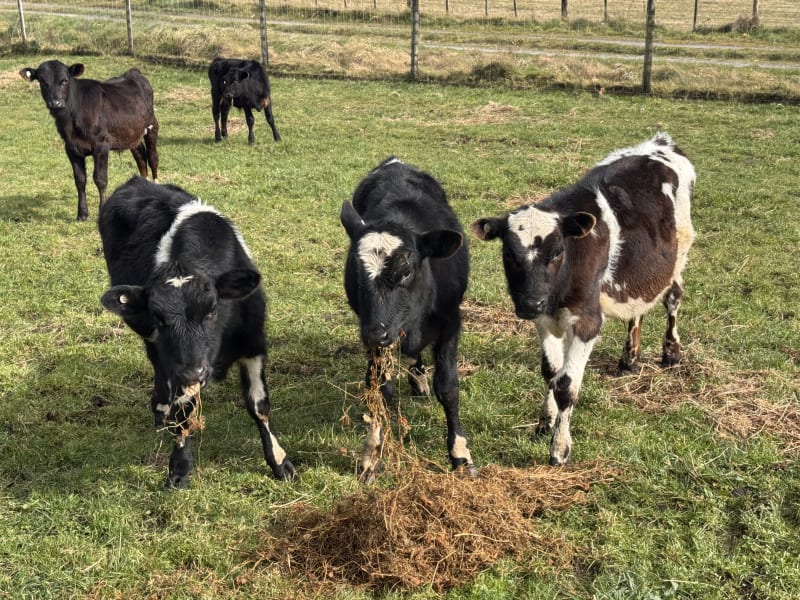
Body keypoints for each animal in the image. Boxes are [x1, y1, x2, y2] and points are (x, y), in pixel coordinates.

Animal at [19, 60, 159, 221]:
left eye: (64, 80)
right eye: (43, 82)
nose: (55, 103)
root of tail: (133, 72)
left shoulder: (101, 145)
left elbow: (100, 179)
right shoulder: (71, 148)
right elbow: (80, 180)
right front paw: (82, 214)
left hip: (152, 126)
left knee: (153, 157)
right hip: (131, 134)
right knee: (140, 157)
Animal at [98, 176, 295, 489]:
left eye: (212, 309)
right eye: (158, 317)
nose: (195, 372)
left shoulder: (253, 344)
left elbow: (259, 404)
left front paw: (279, 461)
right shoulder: (181, 365)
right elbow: (184, 414)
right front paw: (179, 469)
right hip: (154, 346)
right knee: (158, 368)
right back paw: (160, 409)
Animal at [340, 157, 476, 480]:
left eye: (406, 272)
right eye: (355, 273)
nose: (375, 334)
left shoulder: (451, 321)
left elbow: (448, 387)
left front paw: (460, 453)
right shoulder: (378, 333)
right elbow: (379, 388)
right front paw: (372, 452)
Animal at [471, 133, 695, 466]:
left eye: (557, 252)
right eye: (509, 254)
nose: (529, 304)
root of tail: (661, 142)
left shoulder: (587, 321)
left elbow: (566, 385)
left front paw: (559, 448)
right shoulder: (544, 318)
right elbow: (551, 371)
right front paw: (544, 423)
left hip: (679, 258)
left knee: (673, 300)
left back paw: (671, 352)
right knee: (638, 307)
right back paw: (629, 356)